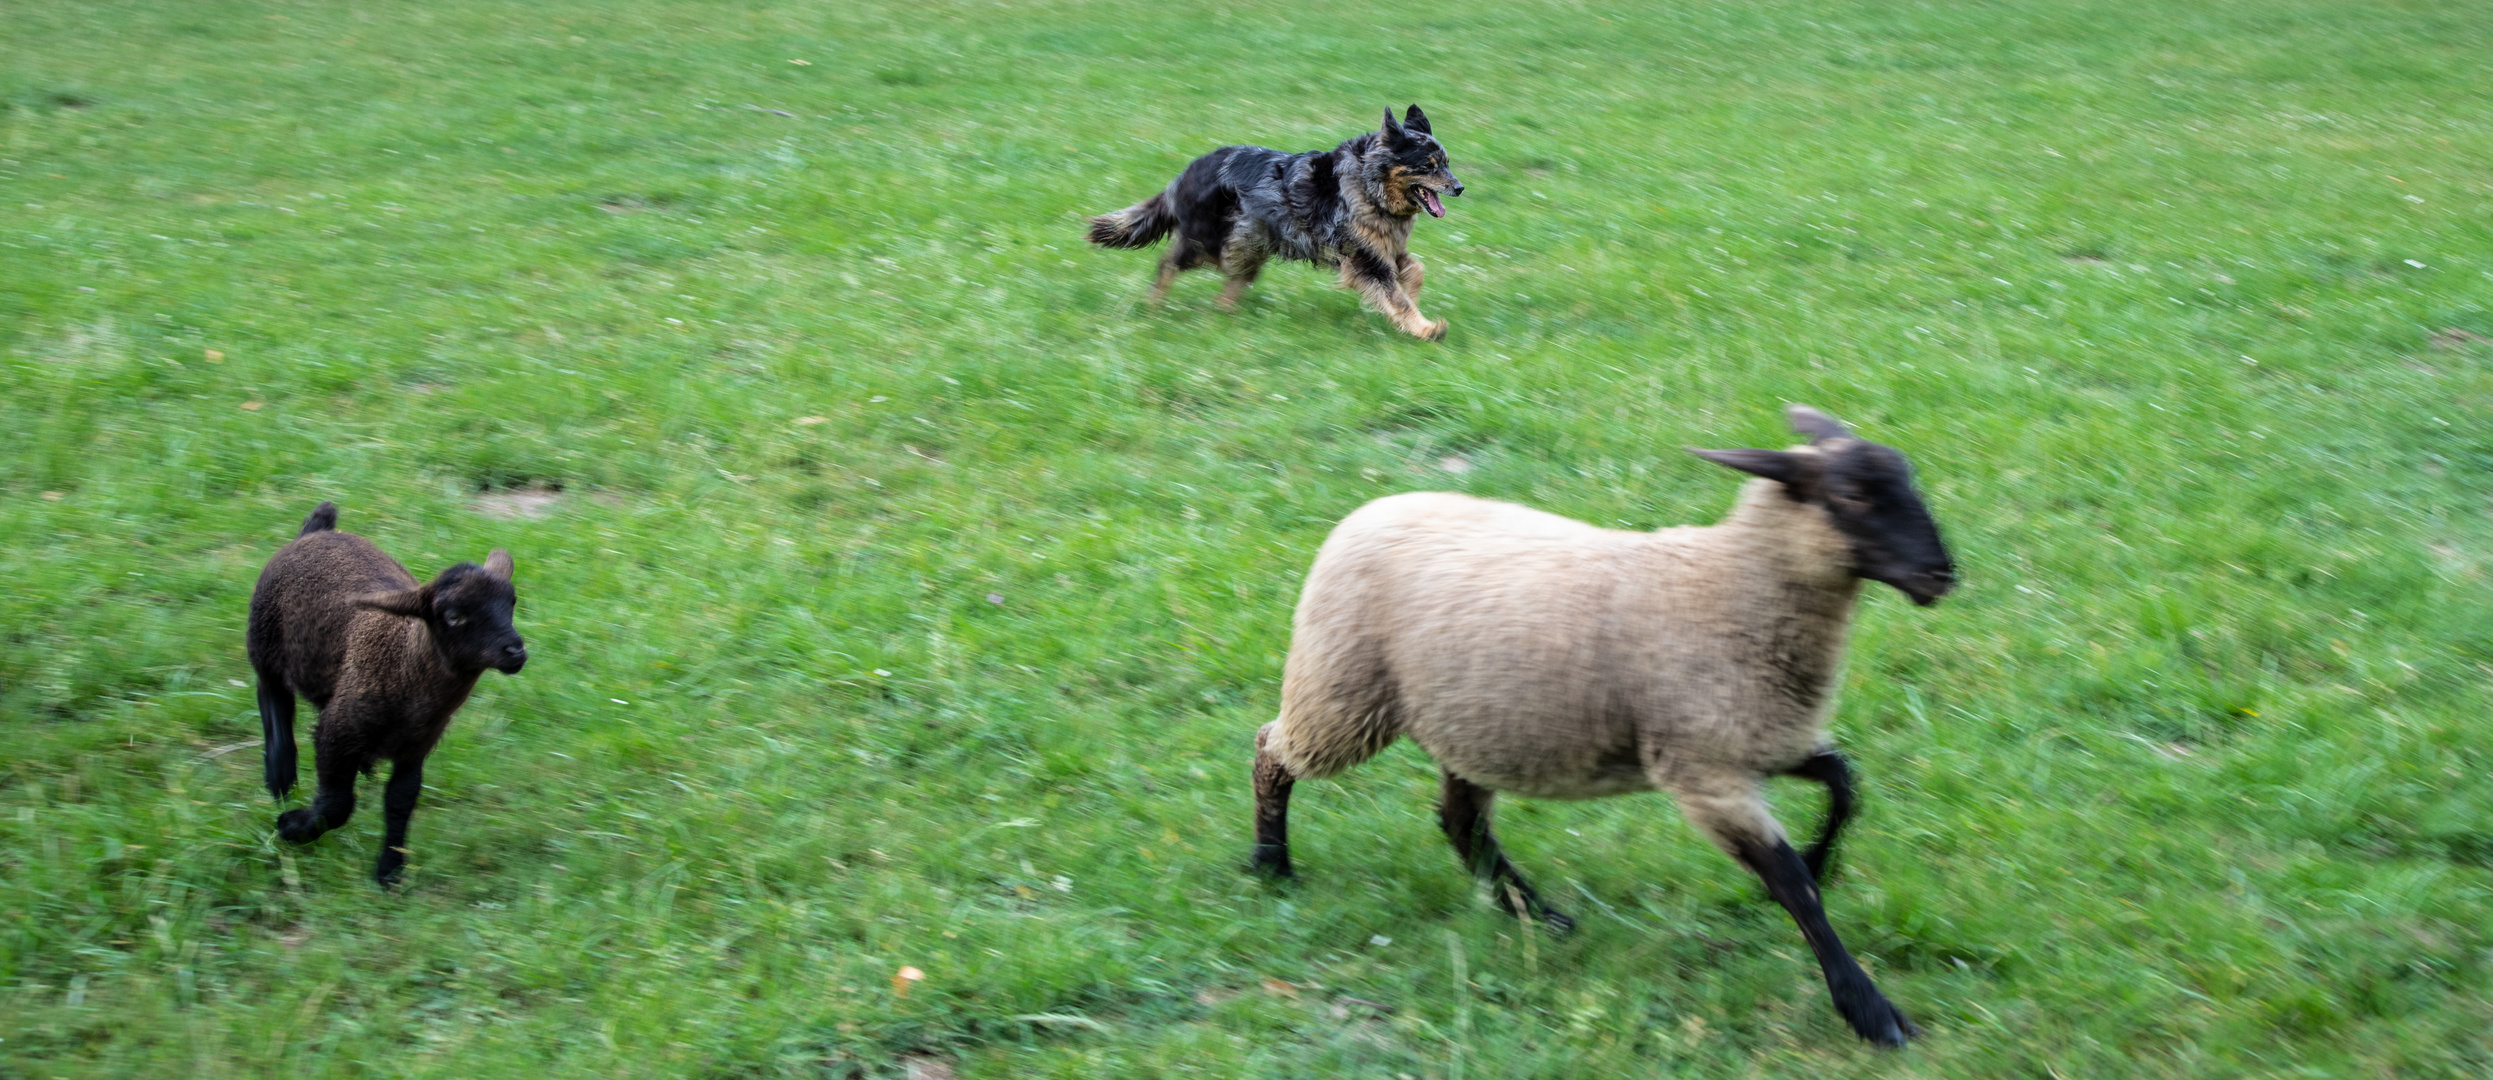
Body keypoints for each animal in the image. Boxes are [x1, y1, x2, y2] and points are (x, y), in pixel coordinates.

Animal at [1086, 105, 1455, 341]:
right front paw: (1426, 329)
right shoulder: (1365, 259)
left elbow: (1415, 272)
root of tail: (1183, 175)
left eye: (1447, 162)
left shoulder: (1383, 249)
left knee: (1232, 281)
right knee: (1168, 263)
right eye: (1429, 165)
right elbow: (1396, 297)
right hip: (1211, 242)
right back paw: (1154, 305)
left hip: (1250, 242)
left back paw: (1224, 312)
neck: (1368, 183)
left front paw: (1415, 301)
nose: (1459, 187)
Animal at [1256, 404, 1954, 1042]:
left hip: (1469, 723)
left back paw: (1537, 917)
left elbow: (1844, 784)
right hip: (1341, 694)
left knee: (1460, 822)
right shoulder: (1705, 770)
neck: (1728, 584)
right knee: (1271, 751)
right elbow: (1793, 884)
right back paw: (1271, 866)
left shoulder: (1761, 741)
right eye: (1851, 495)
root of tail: (1367, 510)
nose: (1942, 575)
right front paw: (1869, 1011)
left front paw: (1820, 858)